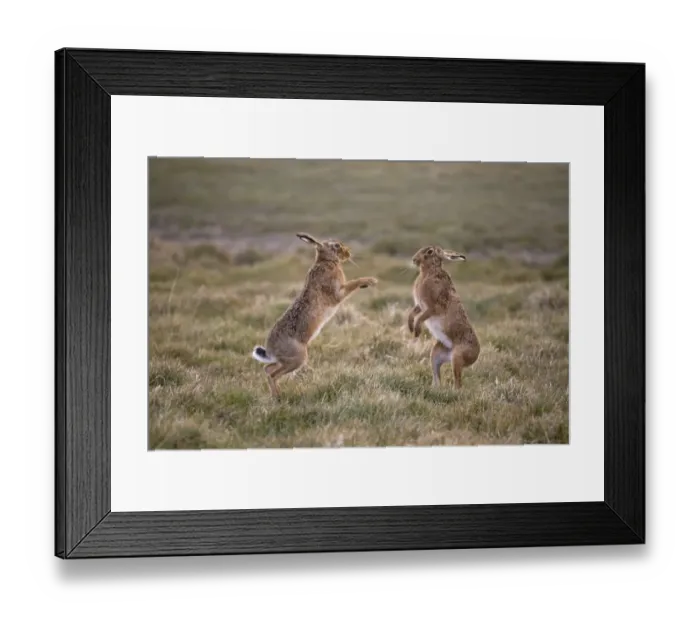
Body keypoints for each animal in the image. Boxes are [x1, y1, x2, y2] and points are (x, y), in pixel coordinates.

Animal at [252, 233, 379, 399]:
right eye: (336, 245)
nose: (348, 252)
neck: (327, 261)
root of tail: (270, 350)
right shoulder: (336, 293)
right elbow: (352, 284)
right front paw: (370, 280)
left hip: (286, 360)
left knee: (267, 369)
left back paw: (276, 395)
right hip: (298, 358)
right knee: (273, 374)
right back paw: (279, 397)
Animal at [407, 245, 480, 388]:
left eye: (429, 252)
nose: (414, 259)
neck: (429, 272)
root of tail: (476, 354)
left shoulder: (433, 308)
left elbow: (421, 317)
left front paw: (417, 331)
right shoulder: (420, 305)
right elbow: (413, 312)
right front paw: (410, 327)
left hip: (457, 357)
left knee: (458, 383)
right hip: (437, 353)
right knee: (437, 374)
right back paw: (435, 389)